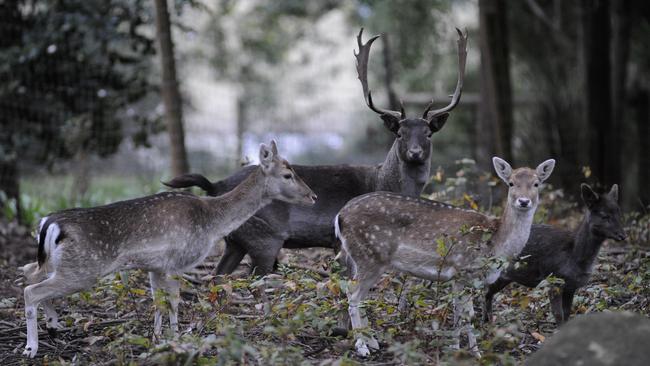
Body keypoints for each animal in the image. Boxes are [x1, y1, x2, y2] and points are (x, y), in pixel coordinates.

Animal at [20, 141, 314, 358]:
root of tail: (49, 223)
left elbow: (157, 301)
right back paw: (31, 347)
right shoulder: (177, 262)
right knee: (31, 290)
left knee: (28, 271)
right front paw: (177, 336)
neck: (212, 222)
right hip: (83, 268)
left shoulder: (156, 266)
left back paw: (54, 325)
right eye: (288, 175)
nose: (312, 196)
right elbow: (173, 300)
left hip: (57, 263)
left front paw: (158, 337)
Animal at [162, 27, 466, 274]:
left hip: (235, 241)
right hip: (264, 237)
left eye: (428, 134)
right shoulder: (340, 240)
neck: (384, 183)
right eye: (400, 134)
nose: (415, 152)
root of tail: (215, 186)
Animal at [334, 156, 552, 356]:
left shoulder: (465, 279)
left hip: (369, 260)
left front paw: (463, 349)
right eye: (511, 183)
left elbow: (460, 313)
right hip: (368, 256)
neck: (495, 243)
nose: (523, 201)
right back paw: (362, 347)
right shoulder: (463, 269)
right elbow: (466, 315)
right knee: (352, 293)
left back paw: (373, 342)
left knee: (360, 296)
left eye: (536, 183)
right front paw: (469, 352)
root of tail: (340, 216)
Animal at [480, 184, 624, 324]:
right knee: (486, 289)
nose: (622, 235)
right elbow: (558, 315)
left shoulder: (571, 286)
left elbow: (566, 314)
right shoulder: (553, 280)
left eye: (618, 213)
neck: (574, 257)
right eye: (604, 215)